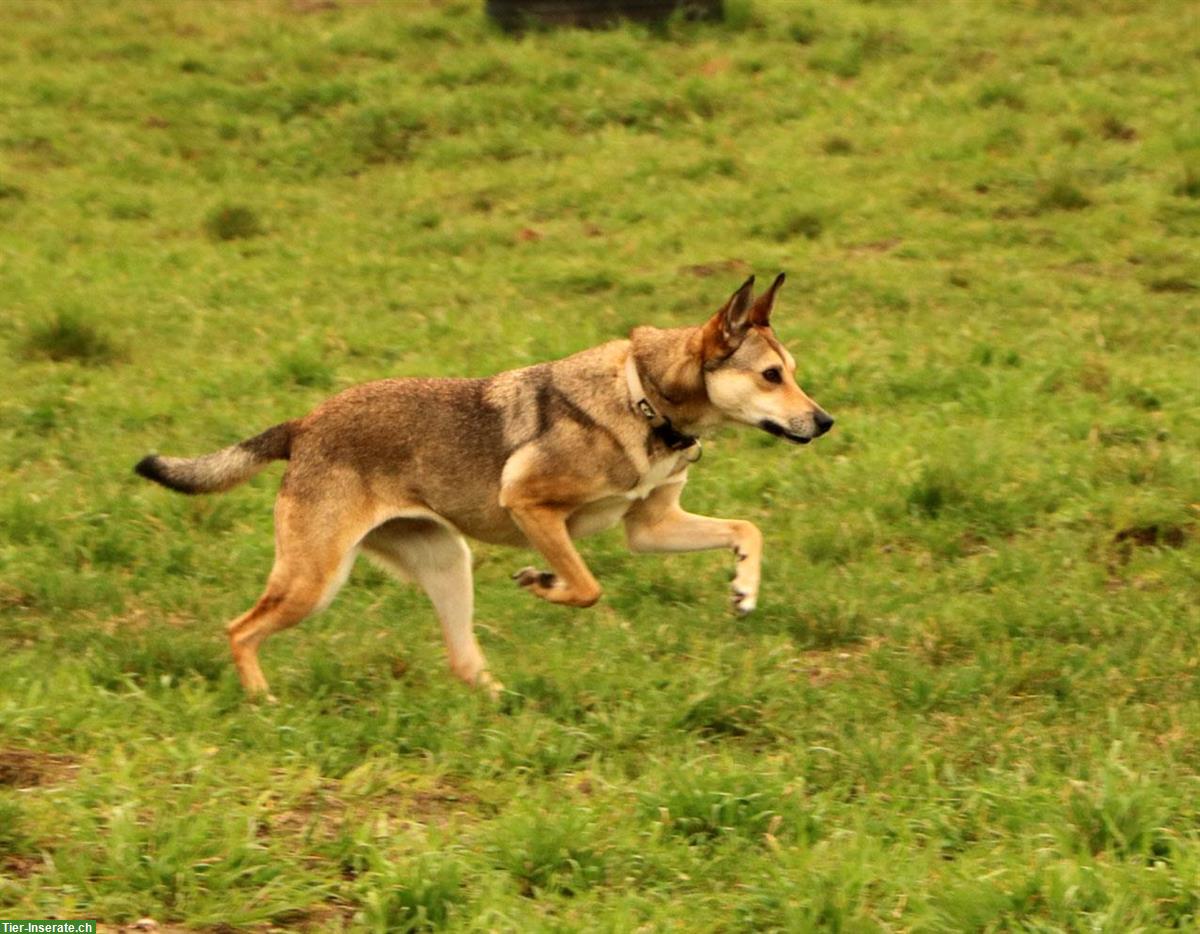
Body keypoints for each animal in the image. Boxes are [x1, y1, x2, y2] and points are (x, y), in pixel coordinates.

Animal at [136, 272, 835, 696]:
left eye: (792, 371)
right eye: (771, 375)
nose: (825, 422)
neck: (645, 400)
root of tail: (304, 425)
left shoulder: (651, 528)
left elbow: (748, 528)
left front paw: (744, 588)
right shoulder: (531, 507)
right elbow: (587, 587)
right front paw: (544, 582)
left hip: (446, 562)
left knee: (462, 660)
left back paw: (506, 703)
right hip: (316, 579)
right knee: (239, 630)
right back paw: (264, 702)